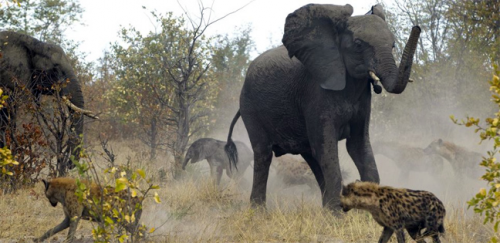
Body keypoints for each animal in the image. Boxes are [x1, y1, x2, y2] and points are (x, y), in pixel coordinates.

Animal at [227, 3, 422, 210]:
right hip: (250, 106)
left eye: (393, 45)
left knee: (311, 157)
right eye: (358, 44)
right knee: (264, 154)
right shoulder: (315, 92)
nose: (417, 27)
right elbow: (327, 149)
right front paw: (339, 215)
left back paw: (325, 209)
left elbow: (358, 145)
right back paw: (259, 212)